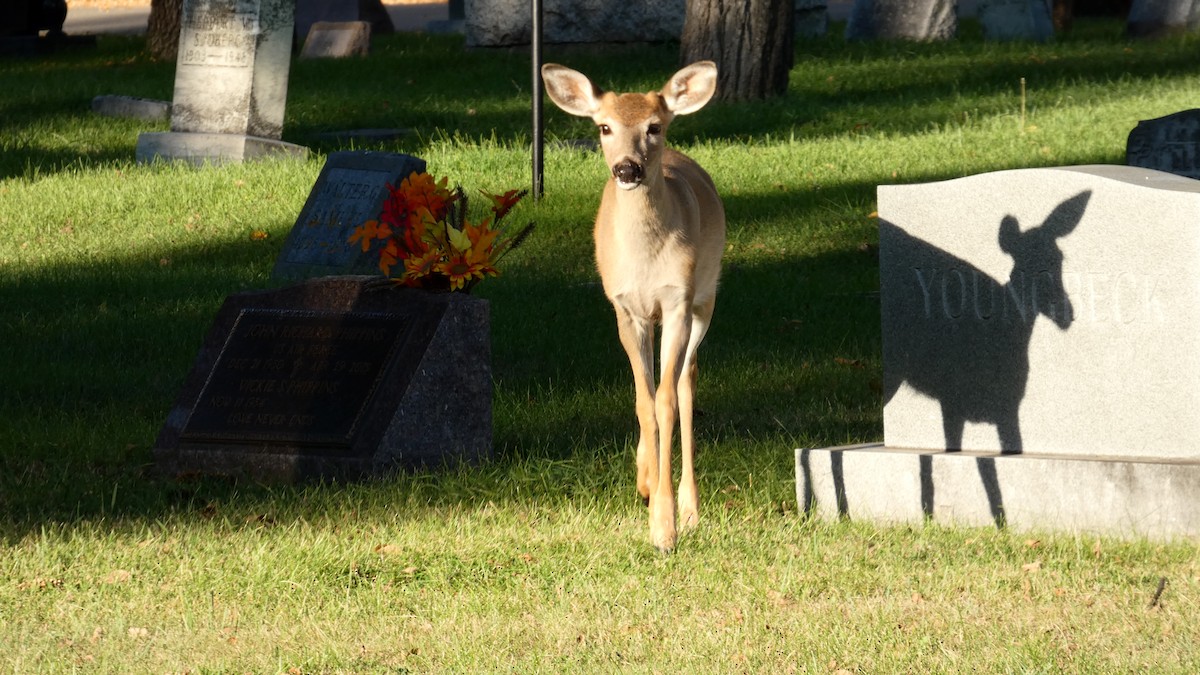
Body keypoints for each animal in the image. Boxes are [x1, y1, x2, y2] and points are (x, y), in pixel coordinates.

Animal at [541, 61, 725, 553]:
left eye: (654, 127)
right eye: (604, 127)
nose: (627, 167)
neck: (645, 260)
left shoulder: (678, 301)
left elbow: (665, 400)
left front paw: (665, 526)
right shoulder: (625, 309)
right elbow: (643, 401)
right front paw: (645, 484)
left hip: (706, 300)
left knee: (685, 382)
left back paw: (691, 509)